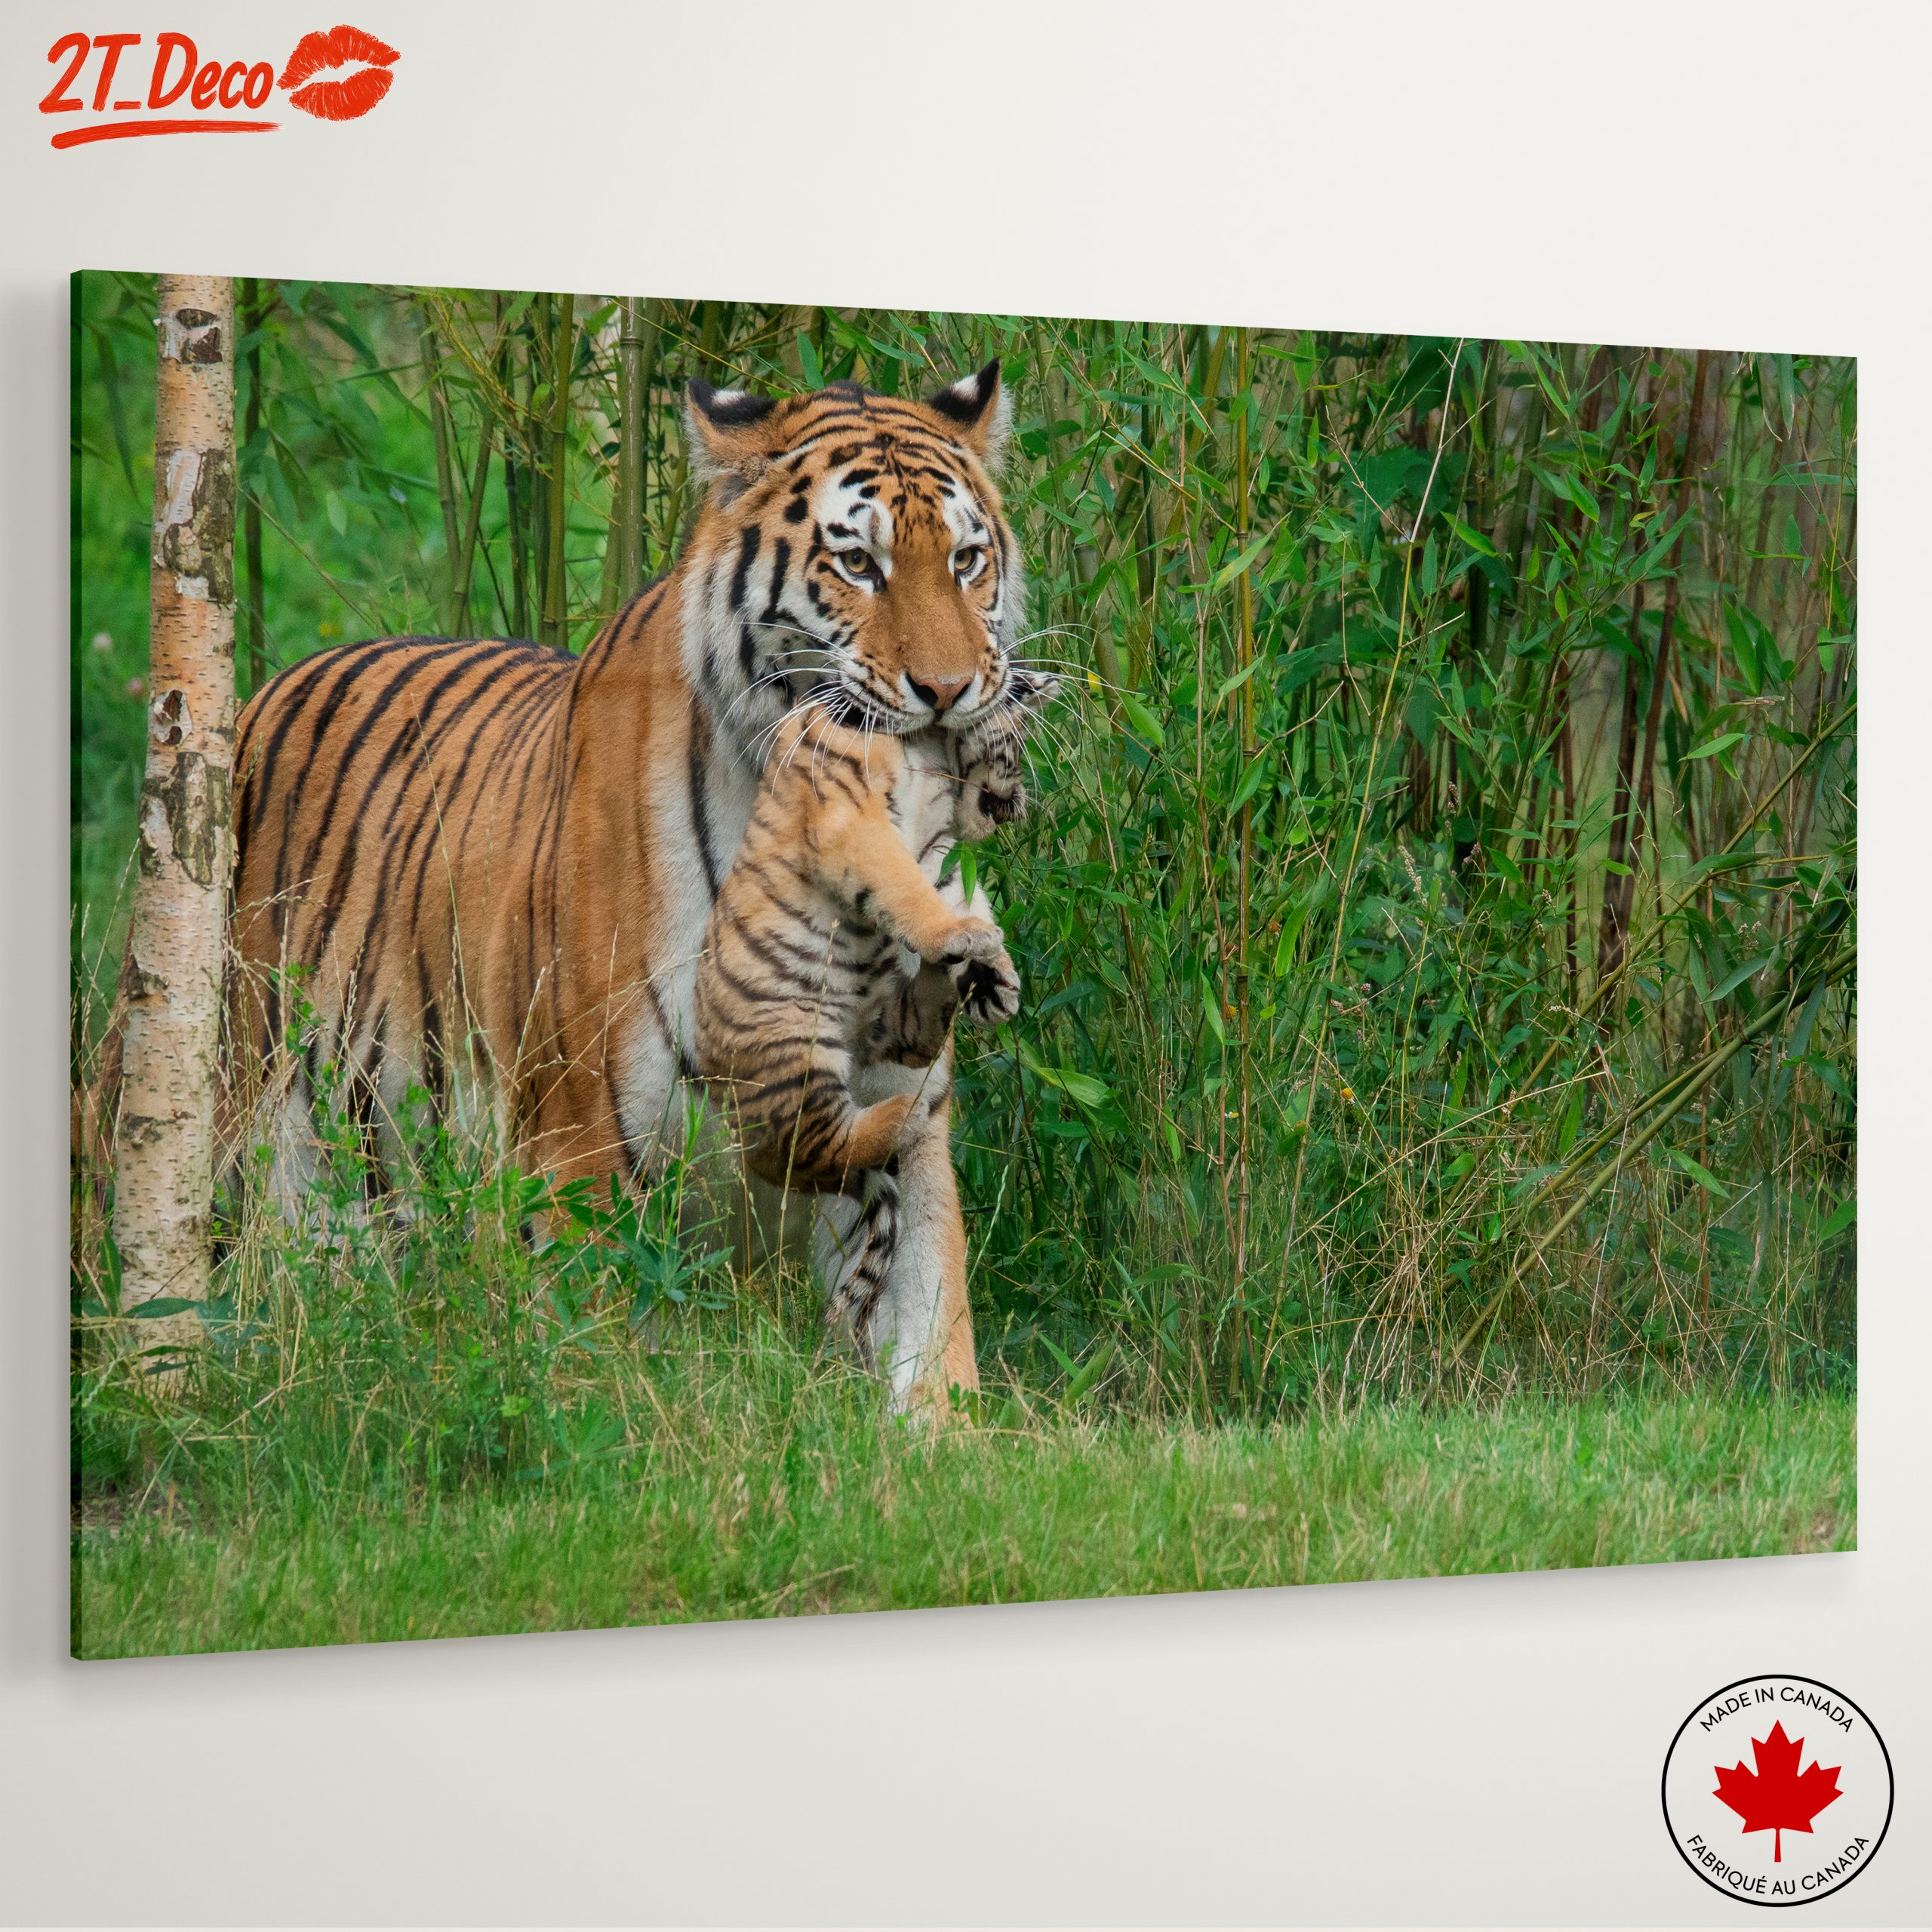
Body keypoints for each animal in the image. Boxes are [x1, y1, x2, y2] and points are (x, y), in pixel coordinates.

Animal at [691, 668, 1054, 1354]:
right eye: (1016, 750)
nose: (1021, 808)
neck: (933, 752)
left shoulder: (938, 850)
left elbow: (953, 892)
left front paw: (996, 971)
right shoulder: (852, 817)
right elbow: (906, 890)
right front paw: (968, 940)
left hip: (881, 1020)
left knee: (914, 1040)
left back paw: (952, 988)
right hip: (797, 1052)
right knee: (827, 1144)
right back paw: (909, 1113)